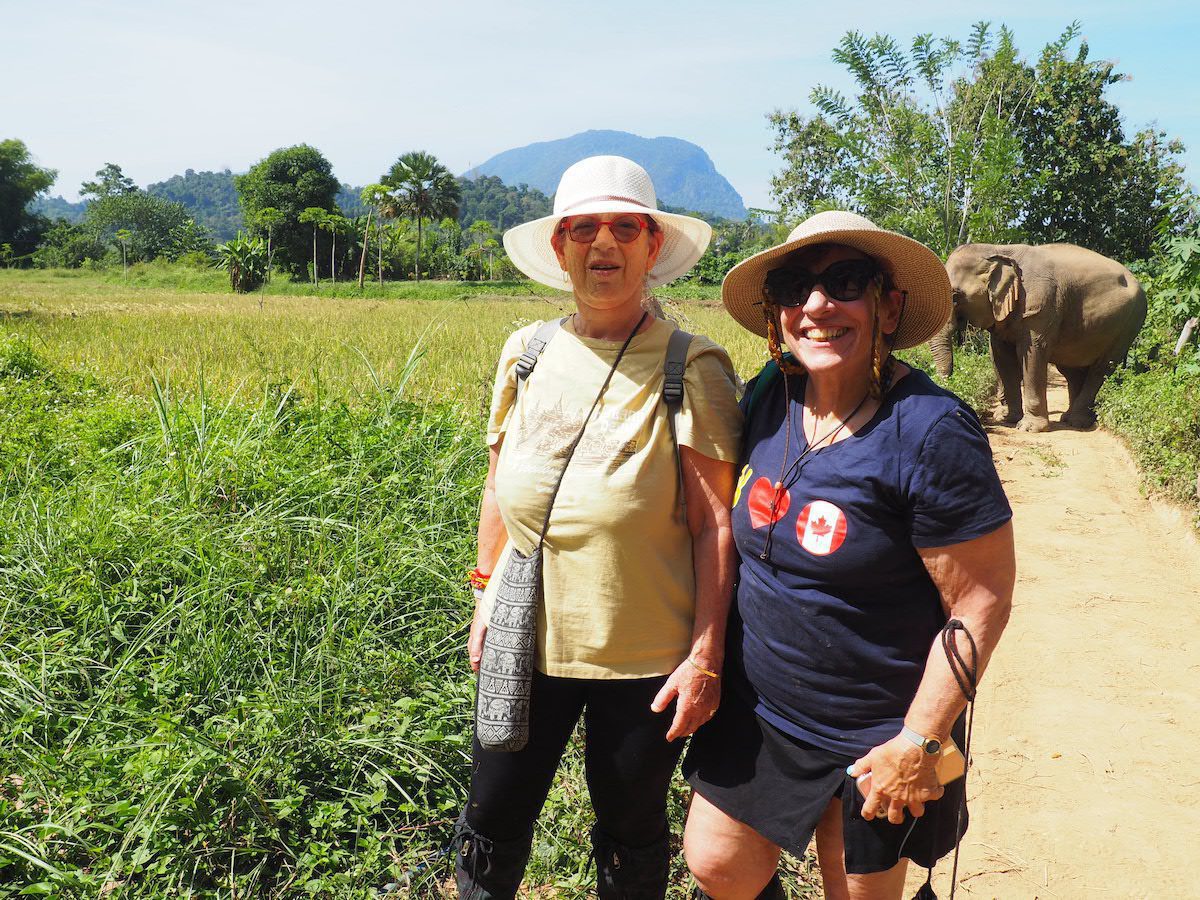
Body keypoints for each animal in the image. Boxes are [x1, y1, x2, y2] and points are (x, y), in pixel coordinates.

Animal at [931, 243, 1147, 434]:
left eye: (955, 297)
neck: (997, 249)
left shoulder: (1039, 307)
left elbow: (1033, 352)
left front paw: (1029, 428)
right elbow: (1002, 356)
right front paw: (1008, 419)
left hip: (1129, 324)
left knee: (1101, 368)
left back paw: (1078, 422)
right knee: (1072, 371)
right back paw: (1069, 418)